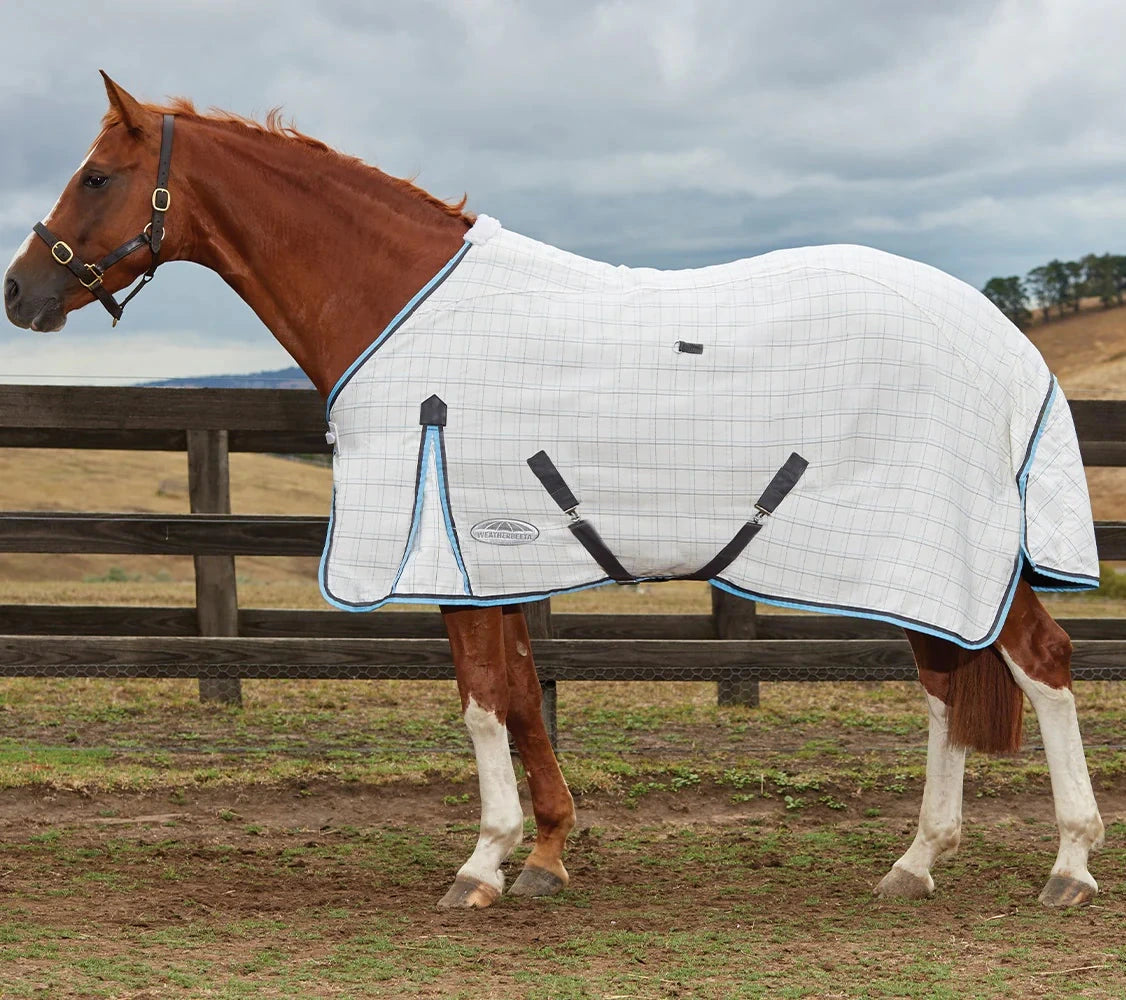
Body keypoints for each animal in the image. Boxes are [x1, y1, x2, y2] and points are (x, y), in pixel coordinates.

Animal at [4, 73, 1104, 910]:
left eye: (97, 175)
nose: (20, 291)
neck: (399, 305)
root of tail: (1008, 345)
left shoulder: (449, 559)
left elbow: (482, 704)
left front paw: (481, 863)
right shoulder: (501, 562)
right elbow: (525, 697)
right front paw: (544, 854)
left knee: (1040, 664)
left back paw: (1068, 863)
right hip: (916, 561)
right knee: (946, 682)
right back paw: (915, 862)